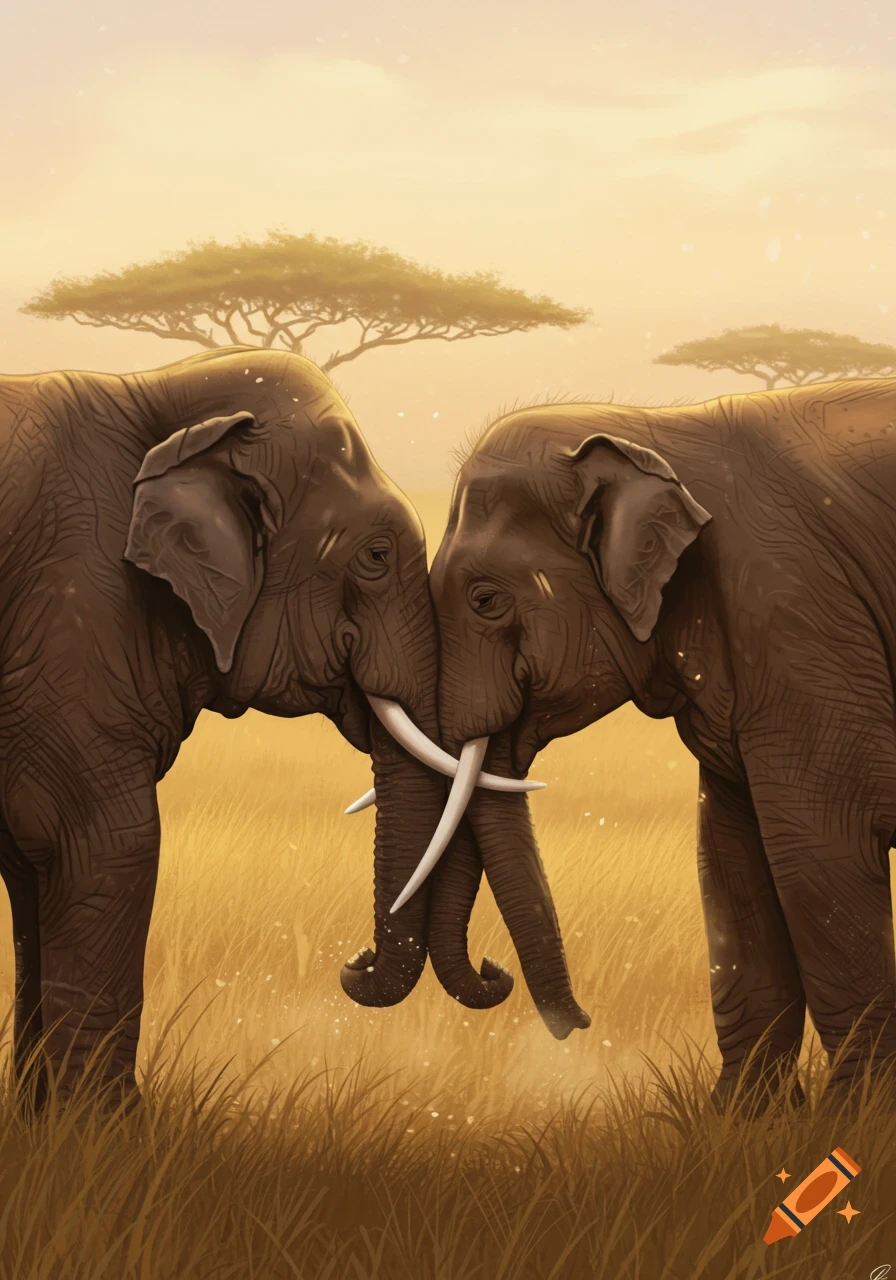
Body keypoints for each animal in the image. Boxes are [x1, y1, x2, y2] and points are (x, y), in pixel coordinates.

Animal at [0, 345, 540, 1108]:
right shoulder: (74, 610)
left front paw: (47, 1124)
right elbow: (106, 843)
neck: (161, 397)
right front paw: (105, 1128)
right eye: (376, 557)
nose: (354, 961)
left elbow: (33, 861)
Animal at [397, 379, 896, 1104]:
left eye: (486, 600)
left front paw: (855, 1116)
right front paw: (743, 1118)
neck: (652, 430)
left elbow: (824, 843)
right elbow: (729, 858)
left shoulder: (796, 612)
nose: (580, 1021)